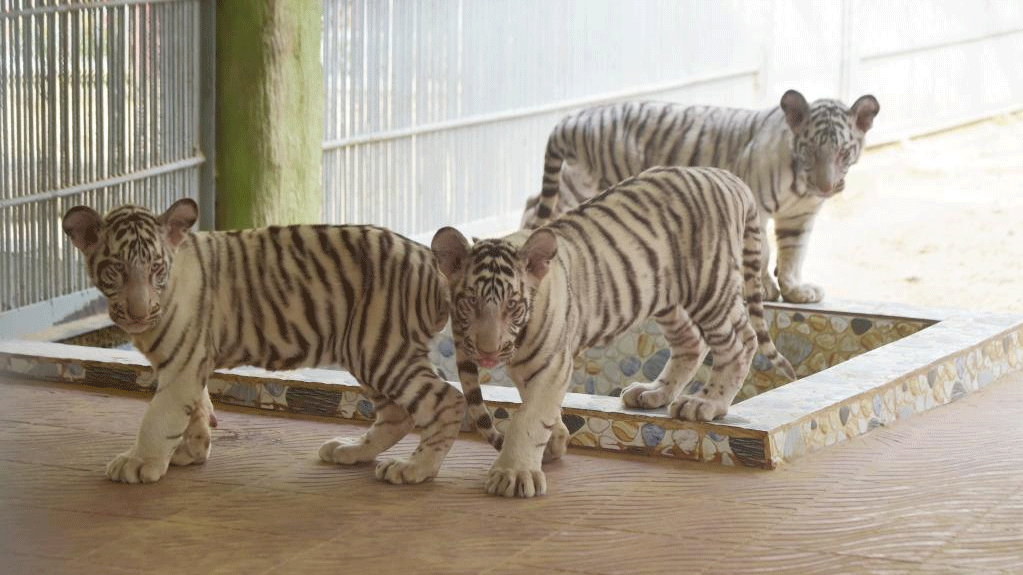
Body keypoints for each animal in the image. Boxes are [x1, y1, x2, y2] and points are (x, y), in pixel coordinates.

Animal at [62, 198, 466, 485]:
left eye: (156, 270)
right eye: (116, 270)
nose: (139, 312)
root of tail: (429, 259)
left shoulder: (181, 365)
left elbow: (158, 417)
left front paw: (139, 462)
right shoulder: (191, 362)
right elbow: (196, 408)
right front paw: (192, 450)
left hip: (380, 350)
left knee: (447, 400)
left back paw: (415, 469)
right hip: (367, 353)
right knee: (398, 415)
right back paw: (351, 451)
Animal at [432, 166, 796, 497]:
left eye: (512, 305)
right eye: (470, 302)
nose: (487, 352)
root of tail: (729, 178)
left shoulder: (551, 364)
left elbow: (529, 416)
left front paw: (514, 473)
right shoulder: (528, 367)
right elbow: (537, 407)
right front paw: (554, 441)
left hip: (710, 285)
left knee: (739, 343)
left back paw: (705, 403)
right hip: (666, 298)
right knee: (692, 342)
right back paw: (653, 393)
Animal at [521, 89, 880, 304]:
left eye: (843, 152)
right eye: (811, 150)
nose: (826, 186)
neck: (802, 186)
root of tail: (574, 117)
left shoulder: (800, 216)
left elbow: (794, 253)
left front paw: (795, 290)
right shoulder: (757, 207)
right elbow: (762, 251)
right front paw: (764, 288)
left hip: (576, 184)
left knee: (534, 205)